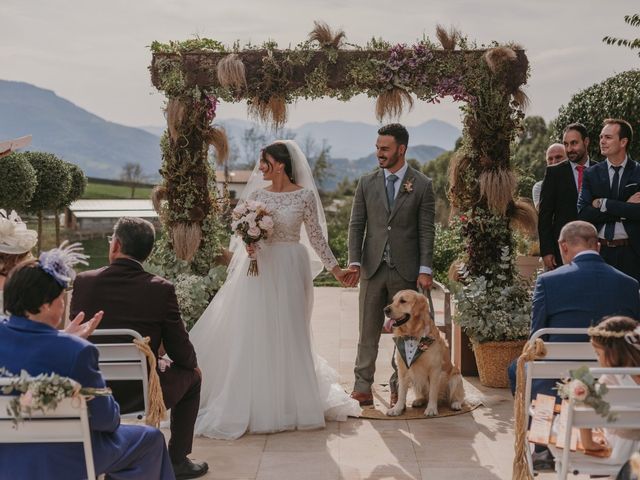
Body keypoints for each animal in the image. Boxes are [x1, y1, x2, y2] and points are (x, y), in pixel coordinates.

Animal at [382, 288, 462, 416]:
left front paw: (431, 409)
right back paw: (419, 400)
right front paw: (397, 409)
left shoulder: (435, 370)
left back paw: (456, 404)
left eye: (403, 301)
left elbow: (433, 392)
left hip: (456, 378)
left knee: (457, 396)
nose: (385, 310)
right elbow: (401, 392)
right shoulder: (403, 369)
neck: (412, 335)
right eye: (393, 300)